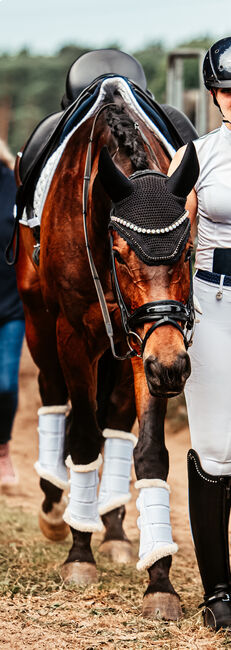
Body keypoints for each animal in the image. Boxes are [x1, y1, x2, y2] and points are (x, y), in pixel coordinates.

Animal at [14, 76, 199, 616]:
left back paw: (114, 527)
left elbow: (150, 452)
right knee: (55, 399)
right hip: (40, 324)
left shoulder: (147, 343)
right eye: (120, 252)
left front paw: (160, 580)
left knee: (114, 417)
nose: (173, 366)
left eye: (189, 249)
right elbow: (82, 437)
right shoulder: (74, 335)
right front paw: (79, 555)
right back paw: (57, 507)